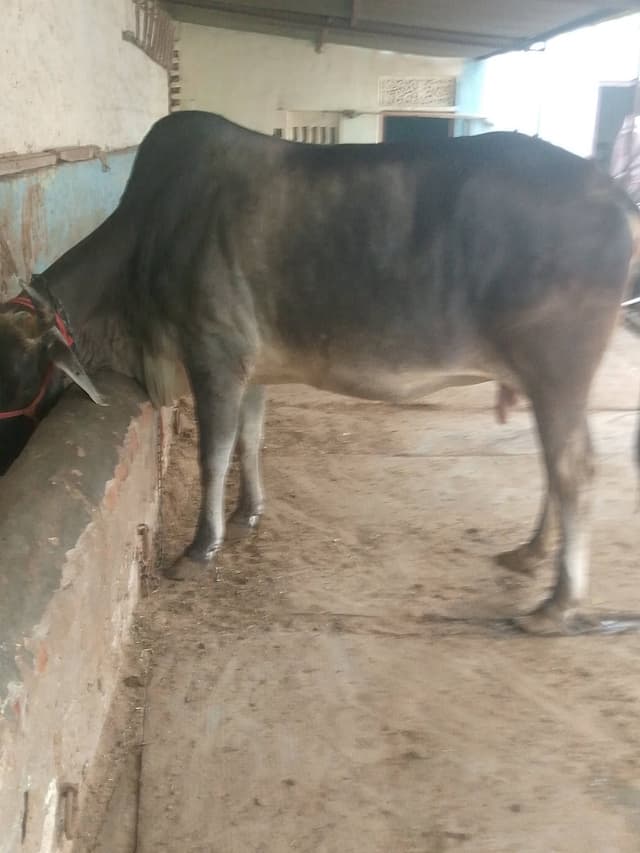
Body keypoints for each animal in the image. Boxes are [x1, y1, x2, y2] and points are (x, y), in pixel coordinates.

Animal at [0, 111, 638, 634]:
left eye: (14, 374)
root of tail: (612, 192)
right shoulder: (253, 369)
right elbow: (250, 440)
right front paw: (247, 513)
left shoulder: (215, 356)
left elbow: (214, 455)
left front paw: (201, 549)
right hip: (544, 382)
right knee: (553, 466)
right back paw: (530, 554)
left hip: (558, 370)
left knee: (575, 469)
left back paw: (556, 604)